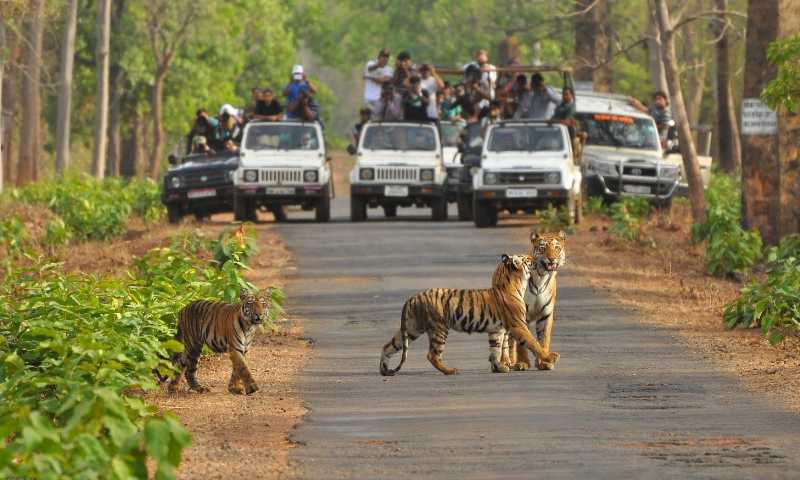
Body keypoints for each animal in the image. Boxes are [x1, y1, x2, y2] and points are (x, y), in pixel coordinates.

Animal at [382, 253, 564, 376]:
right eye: (527, 258)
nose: (535, 258)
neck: (514, 283)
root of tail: (413, 297)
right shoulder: (518, 324)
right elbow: (533, 343)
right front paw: (550, 357)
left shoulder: (496, 330)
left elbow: (495, 349)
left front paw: (499, 367)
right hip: (439, 328)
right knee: (432, 354)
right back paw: (450, 370)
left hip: (412, 328)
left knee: (388, 346)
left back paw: (383, 369)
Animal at [504, 231, 564, 374]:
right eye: (542, 248)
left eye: (557, 248)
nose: (552, 259)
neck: (541, 277)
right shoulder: (521, 314)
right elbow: (522, 342)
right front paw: (522, 363)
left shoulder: (546, 314)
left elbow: (543, 339)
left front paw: (544, 363)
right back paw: (510, 362)